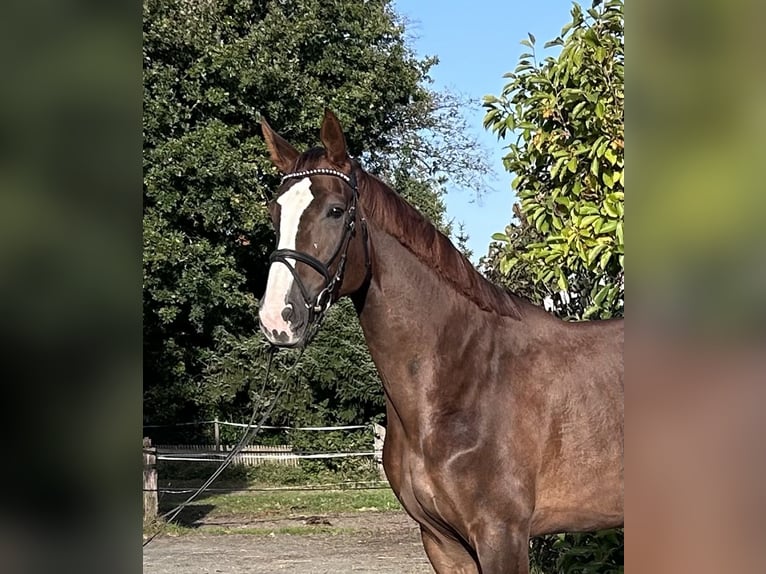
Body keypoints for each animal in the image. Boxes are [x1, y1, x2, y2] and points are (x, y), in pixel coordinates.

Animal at [258, 109, 624, 574]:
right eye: (275, 213)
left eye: (336, 211)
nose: (277, 318)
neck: (461, 378)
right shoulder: (441, 541)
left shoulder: (501, 535)